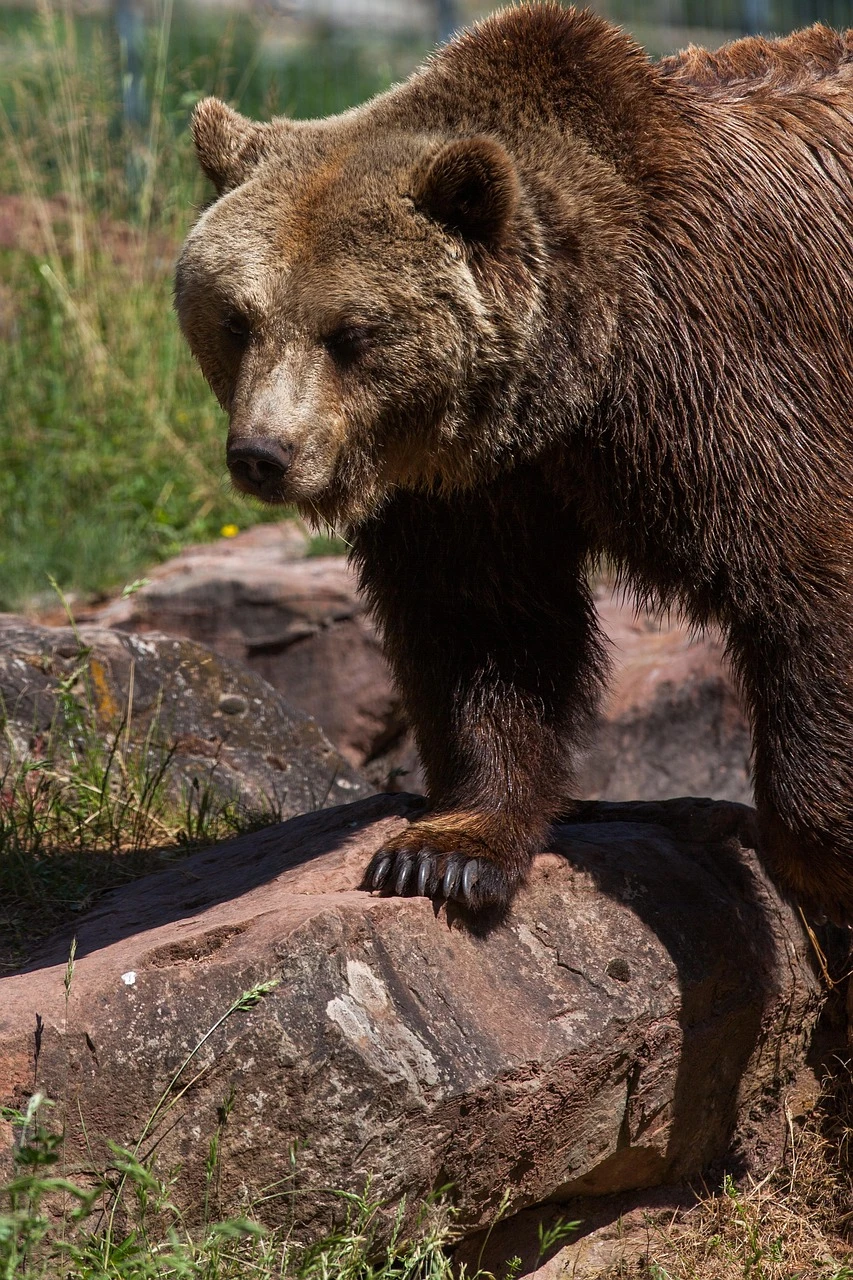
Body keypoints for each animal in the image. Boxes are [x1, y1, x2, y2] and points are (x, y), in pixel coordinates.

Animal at [175, 3, 853, 918]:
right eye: (237, 319)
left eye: (351, 331)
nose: (263, 455)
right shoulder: (470, 482)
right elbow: (484, 628)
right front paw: (443, 853)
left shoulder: (736, 375)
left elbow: (805, 581)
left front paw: (818, 859)